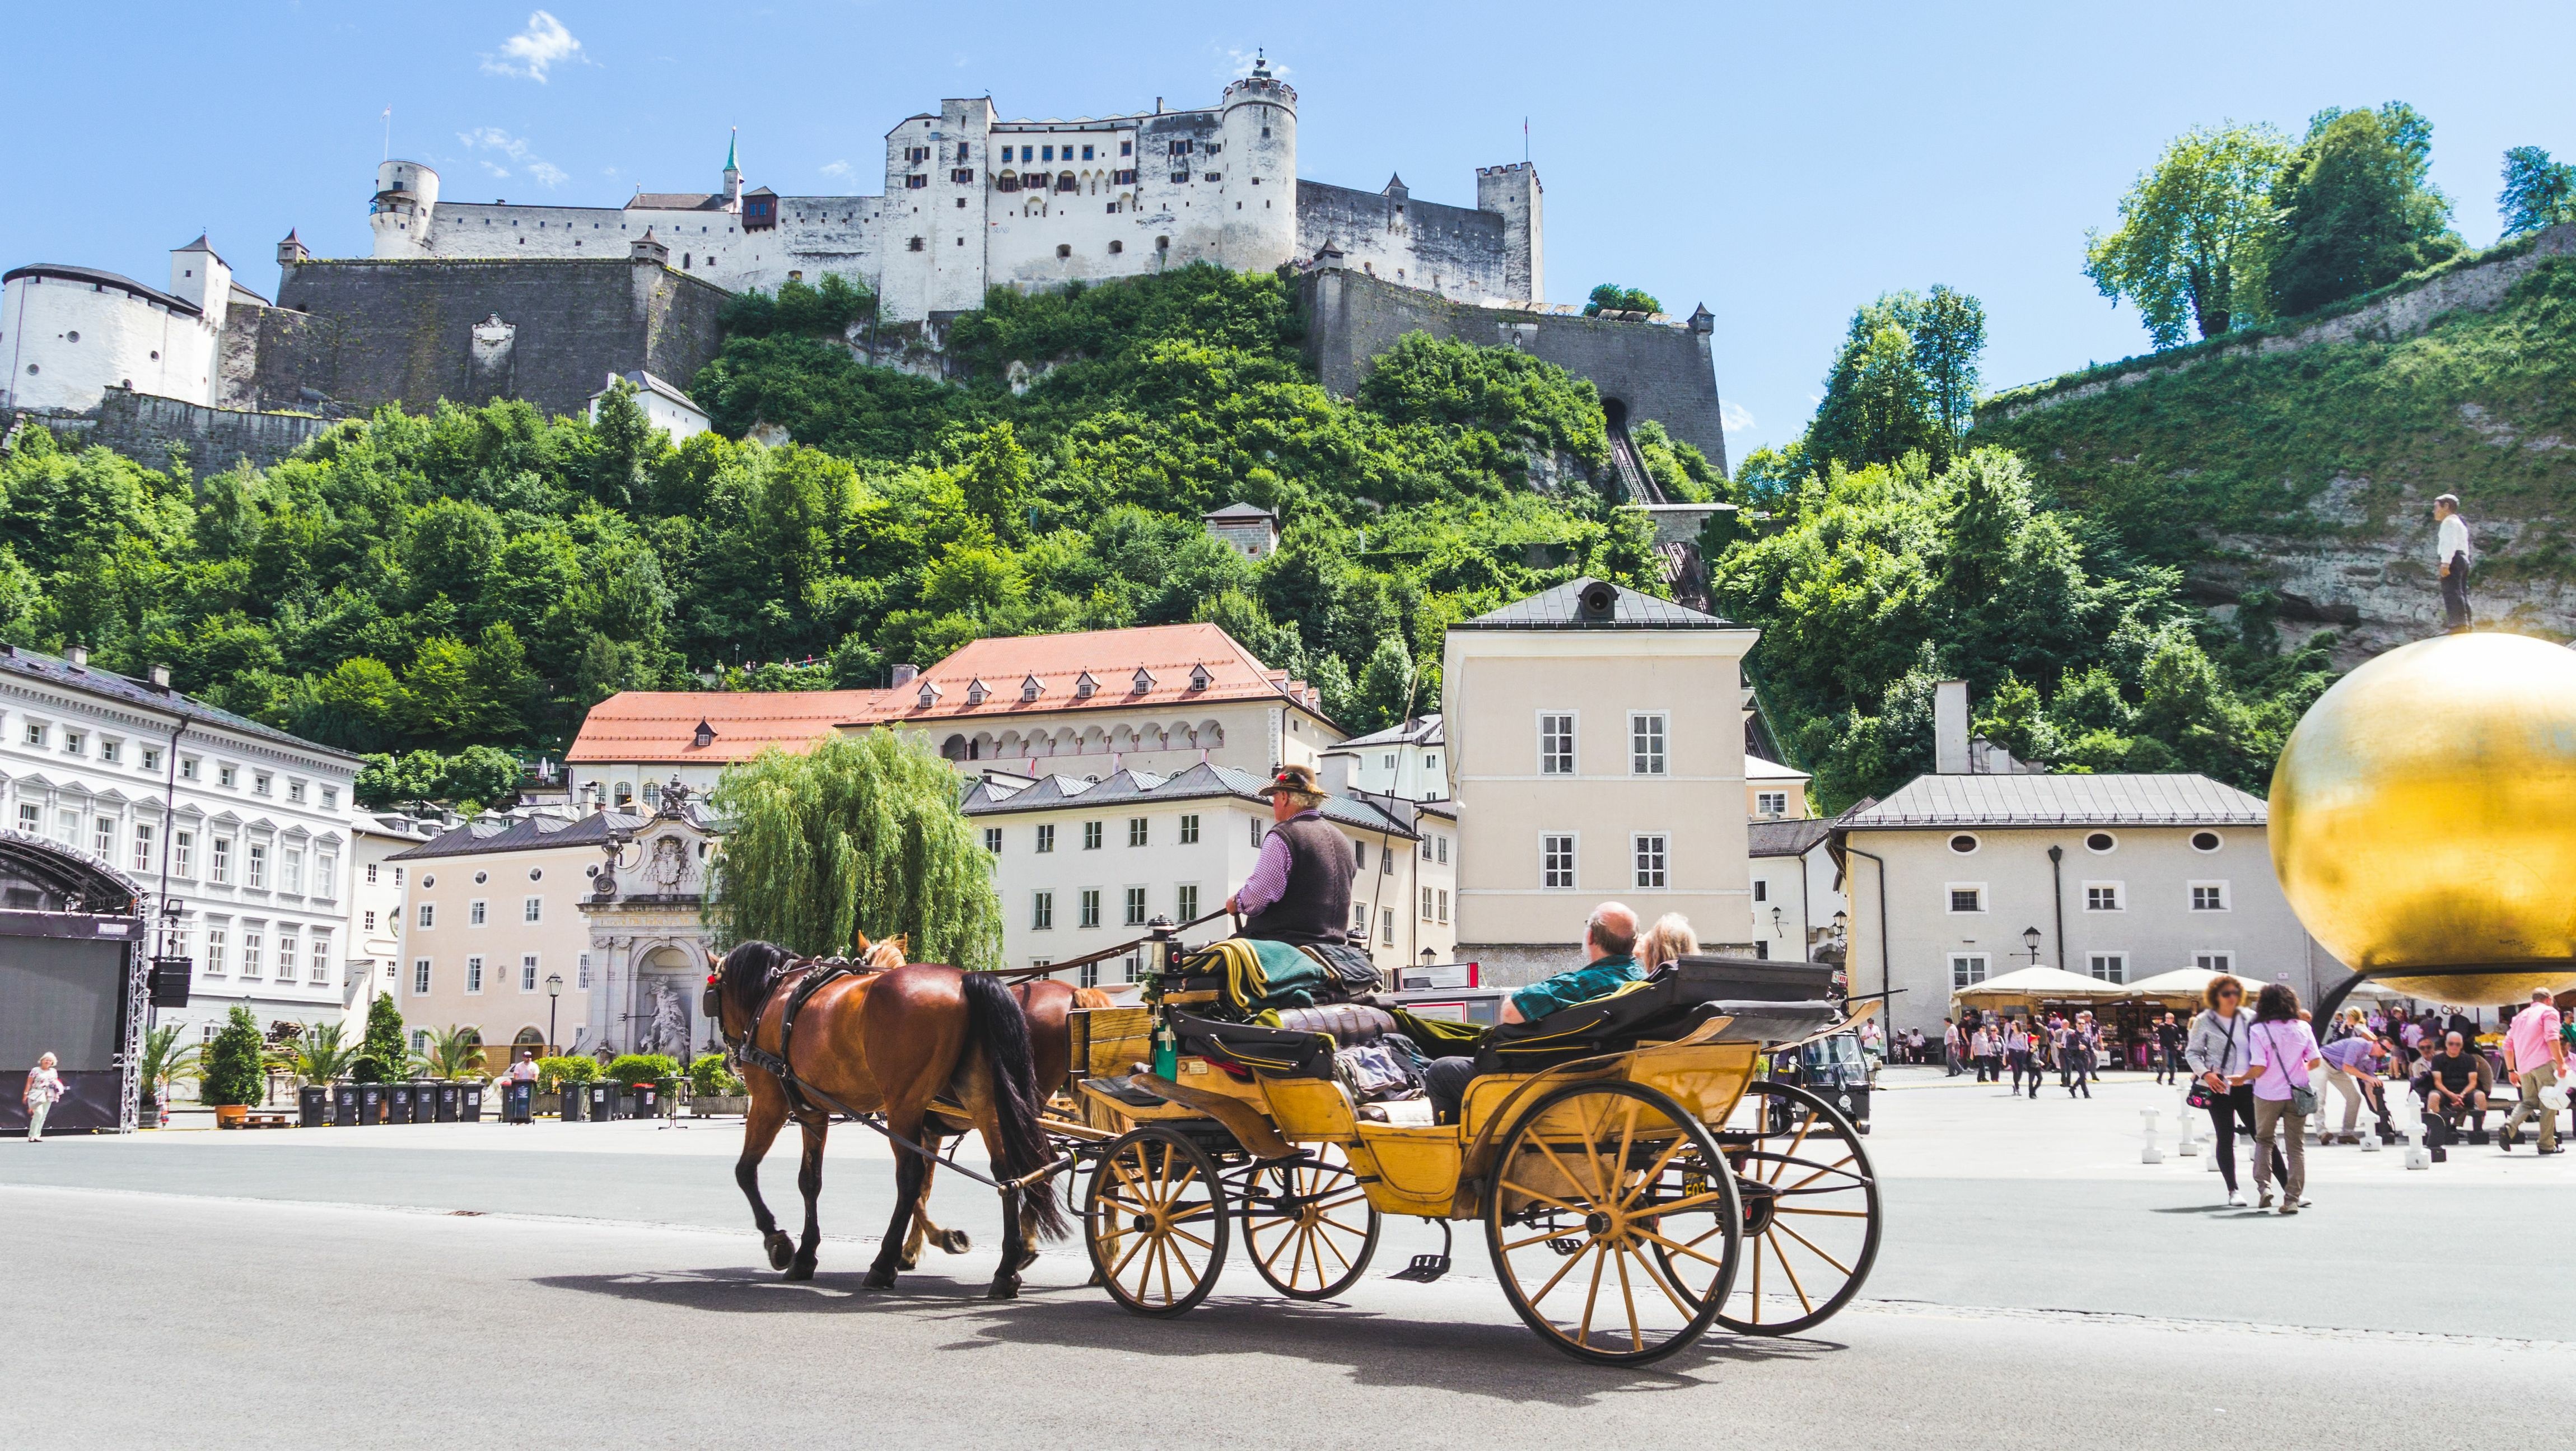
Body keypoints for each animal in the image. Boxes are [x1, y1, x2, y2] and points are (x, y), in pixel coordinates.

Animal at [716, 938, 1066, 1299]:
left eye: (715, 996)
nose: (731, 1060)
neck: (779, 992)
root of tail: (964, 980)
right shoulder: (814, 1112)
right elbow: (811, 1181)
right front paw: (806, 1255)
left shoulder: (770, 1102)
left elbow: (746, 1171)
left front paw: (779, 1242)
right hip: (985, 1100)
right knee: (1010, 1173)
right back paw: (1008, 1267)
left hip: (904, 1105)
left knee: (910, 1178)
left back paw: (883, 1265)